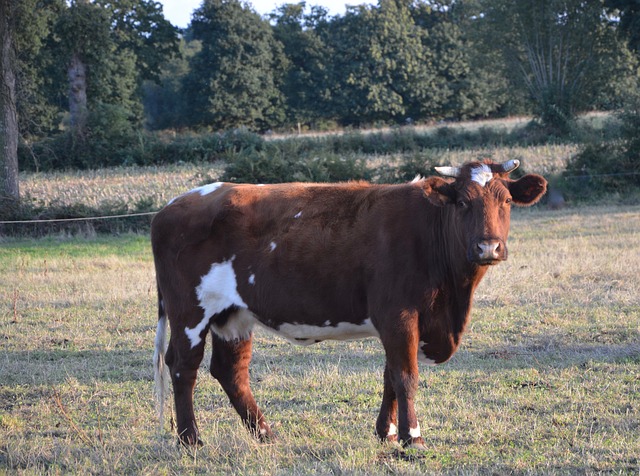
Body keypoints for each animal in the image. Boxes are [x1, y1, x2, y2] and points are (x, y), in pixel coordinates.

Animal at [150, 160, 544, 450]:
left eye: (506, 201)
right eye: (463, 202)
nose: (488, 247)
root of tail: (171, 206)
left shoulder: (403, 321)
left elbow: (390, 375)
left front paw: (386, 432)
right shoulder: (398, 314)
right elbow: (406, 375)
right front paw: (412, 438)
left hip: (234, 316)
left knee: (230, 371)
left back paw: (265, 434)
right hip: (190, 312)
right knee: (184, 366)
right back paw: (191, 440)